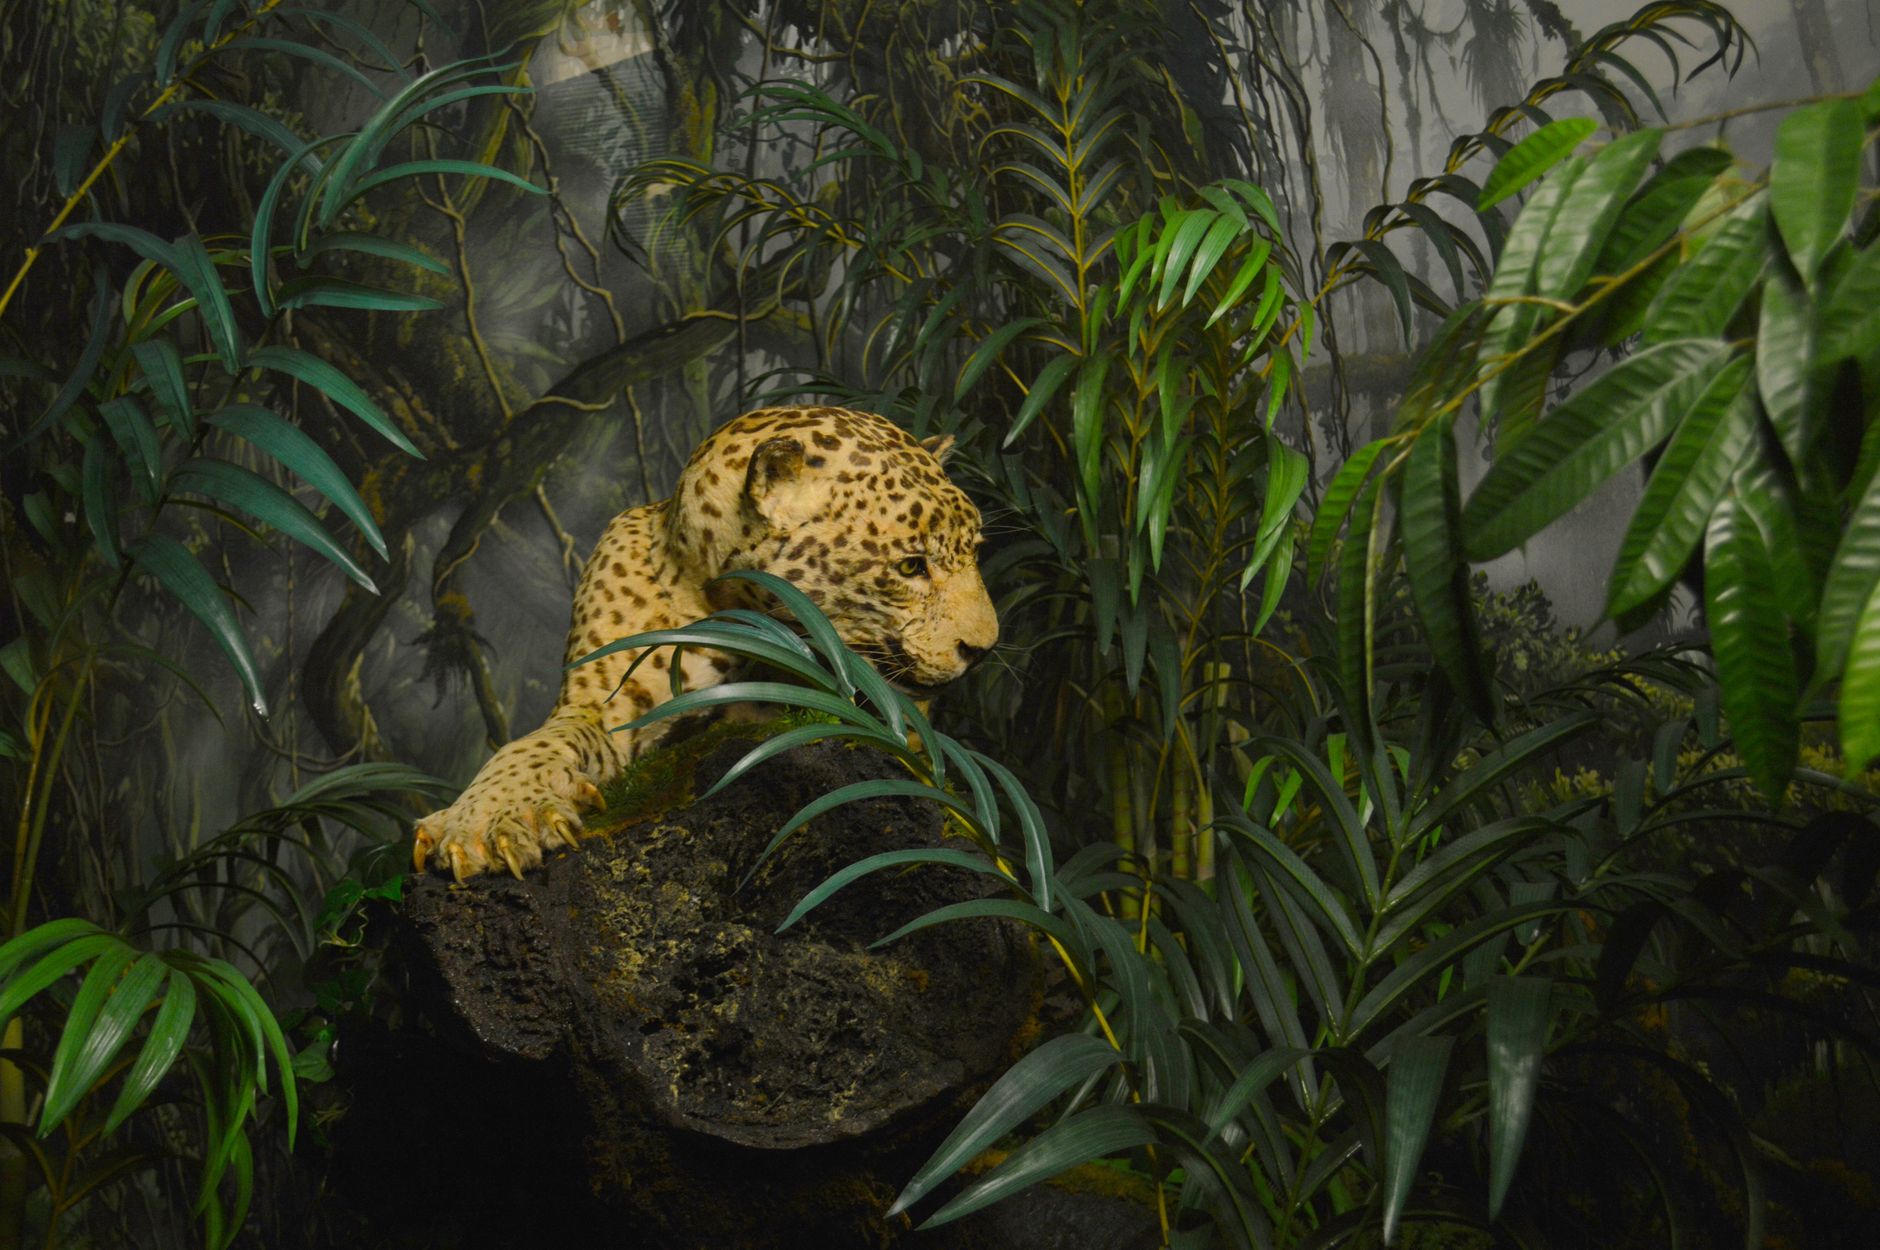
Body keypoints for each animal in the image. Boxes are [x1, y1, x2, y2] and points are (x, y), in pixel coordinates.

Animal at [412, 405, 999, 880]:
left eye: (974, 552)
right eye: (910, 566)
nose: (984, 649)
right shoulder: (604, 703)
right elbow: (532, 745)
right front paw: (485, 818)